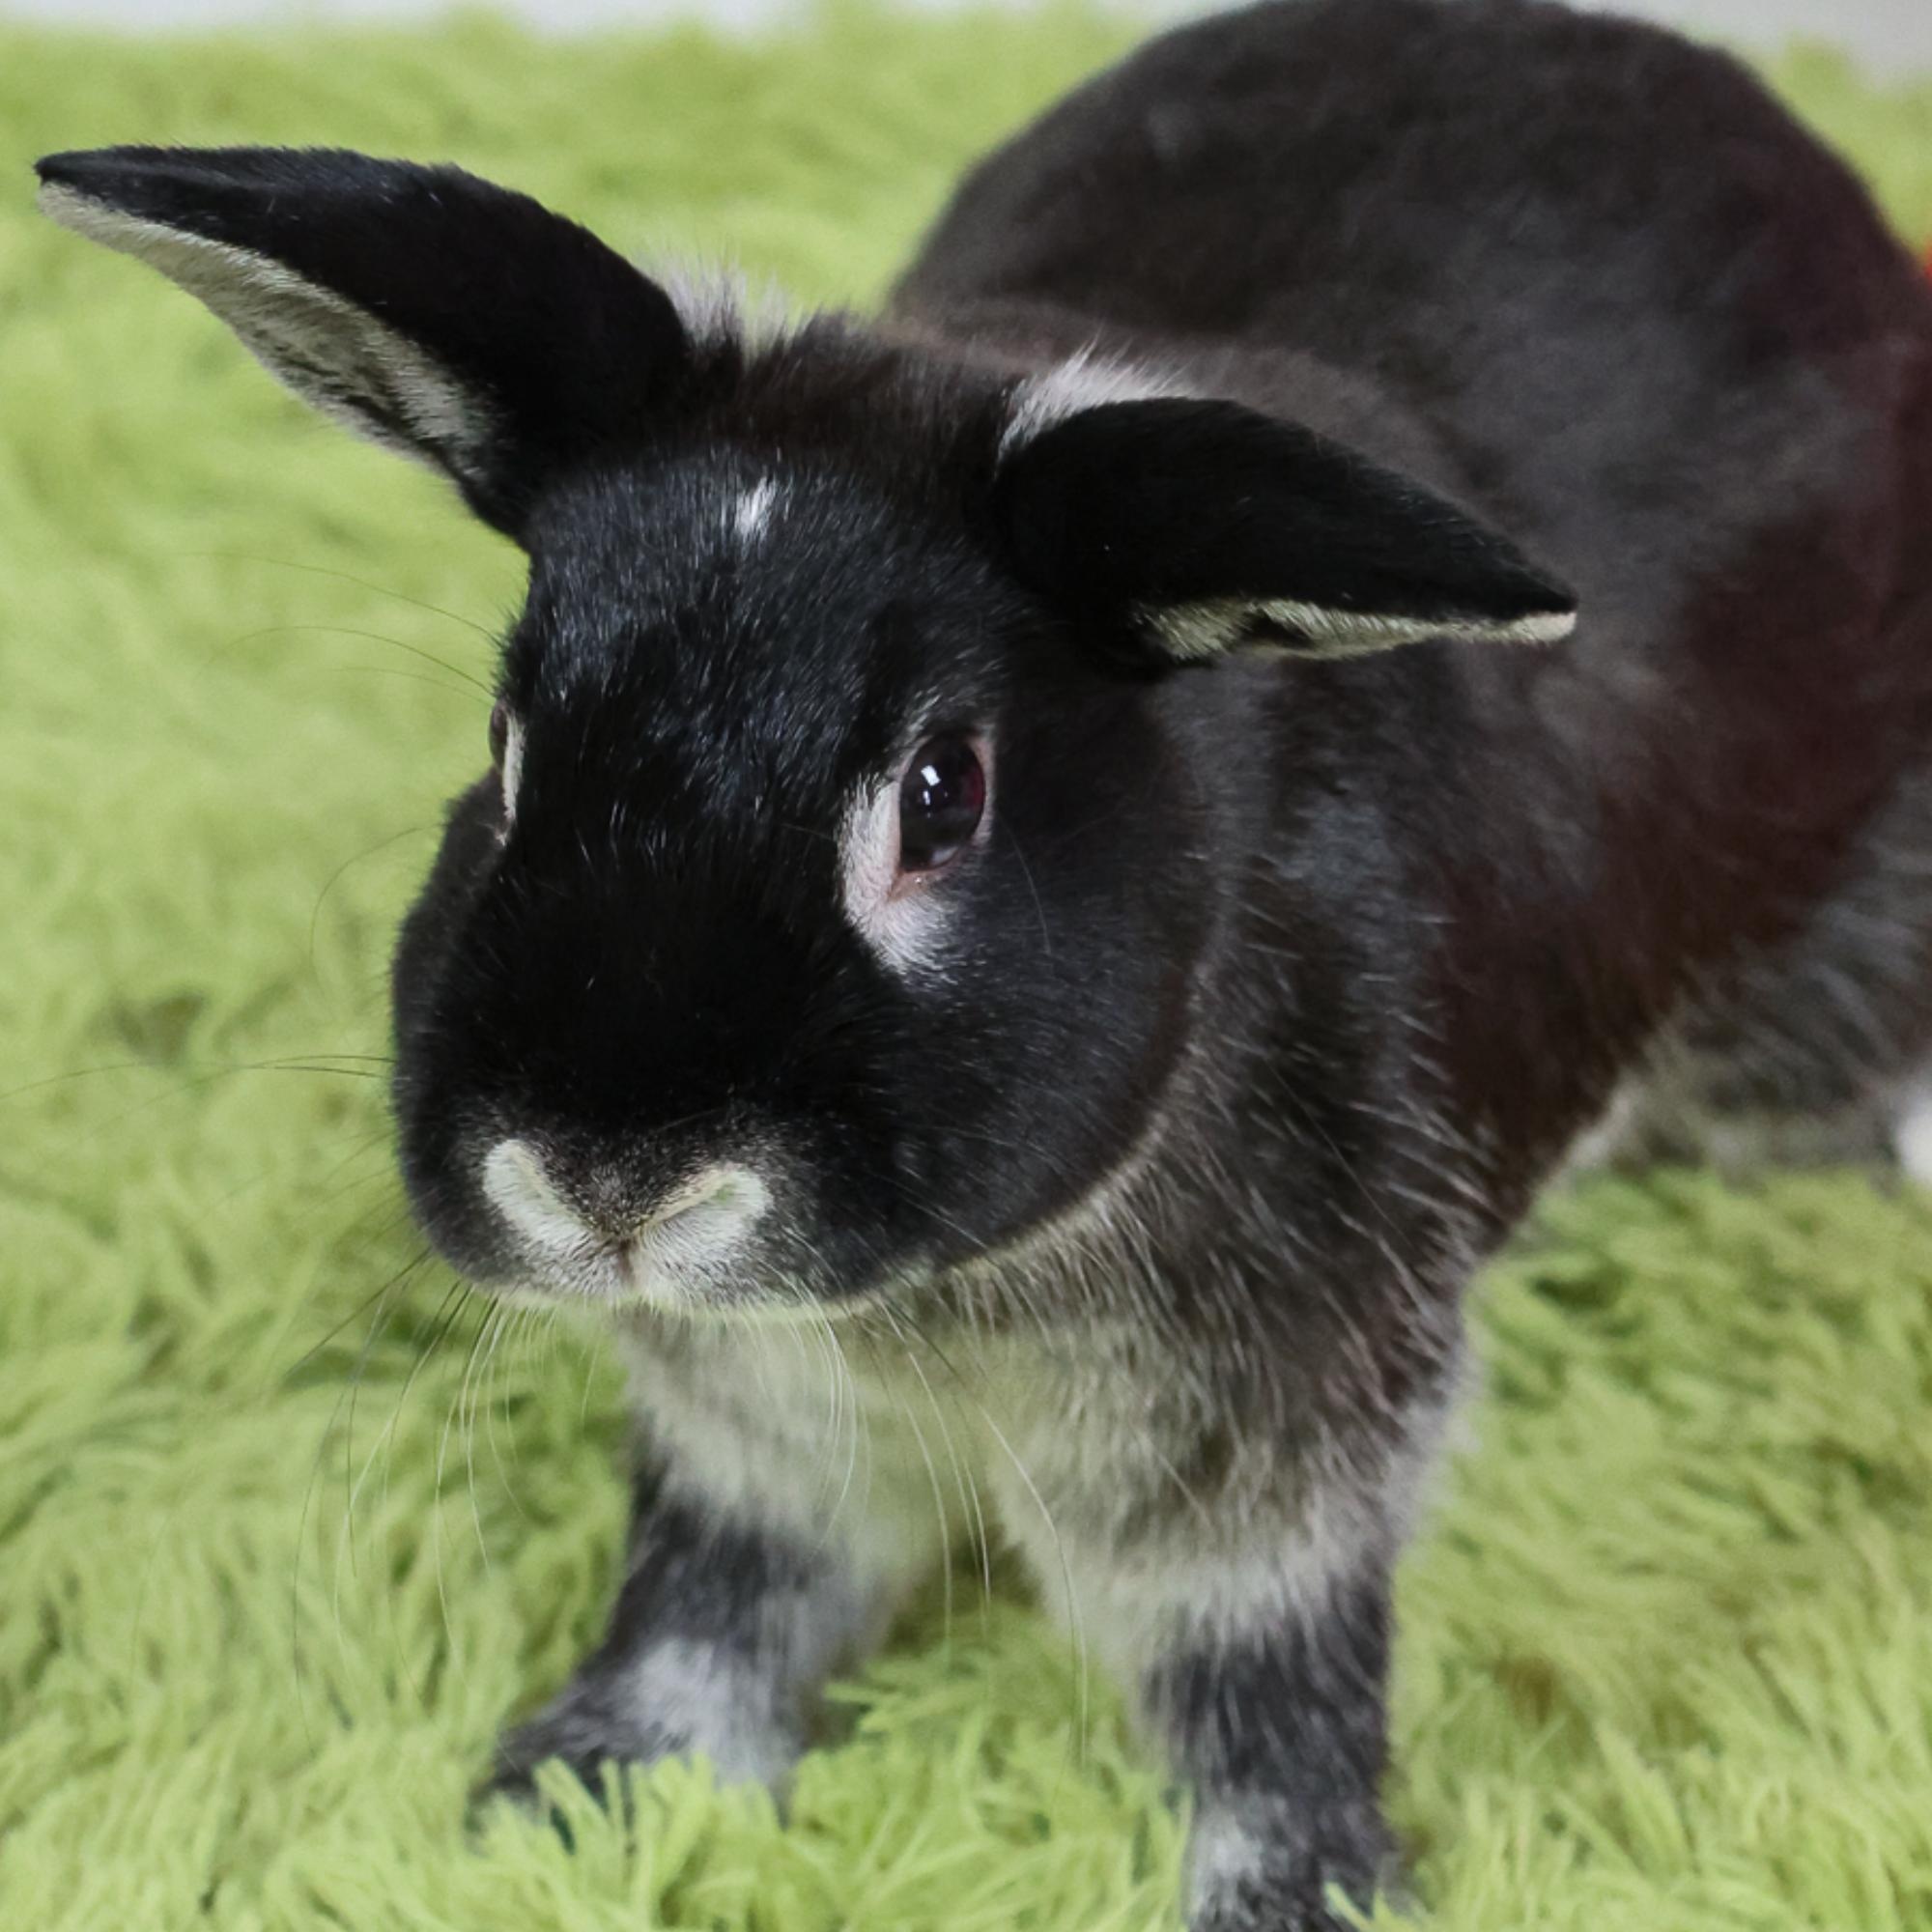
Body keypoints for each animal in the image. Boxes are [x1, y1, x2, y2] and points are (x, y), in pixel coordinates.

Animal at [37, 0, 1932, 1924]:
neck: (922, 1312)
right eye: (508, 747)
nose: (601, 1185)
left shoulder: (1274, 1467)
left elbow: (1264, 1677)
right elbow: (722, 1584)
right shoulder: (761, 1443)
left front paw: (1303, 1894)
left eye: (942, 797)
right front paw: (593, 1796)